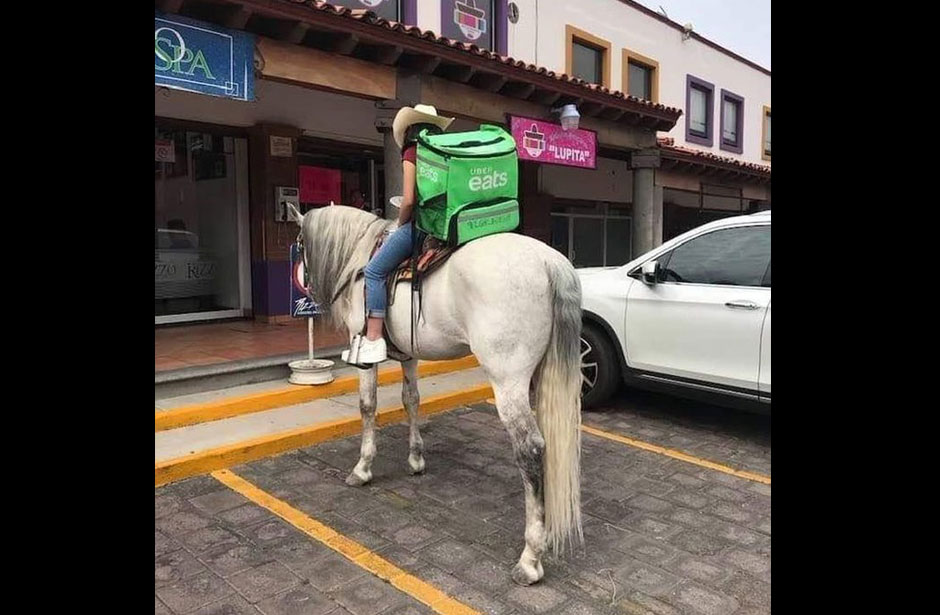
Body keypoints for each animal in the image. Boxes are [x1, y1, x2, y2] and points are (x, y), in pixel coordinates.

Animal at [292, 204, 583, 585]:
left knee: (531, 449)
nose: (306, 287)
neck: (360, 257)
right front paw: (416, 459)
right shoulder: (409, 354)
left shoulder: (364, 352)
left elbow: (368, 406)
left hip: (508, 381)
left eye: (299, 245)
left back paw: (530, 559)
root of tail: (549, 262)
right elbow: (411, 399)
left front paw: (363, 467)